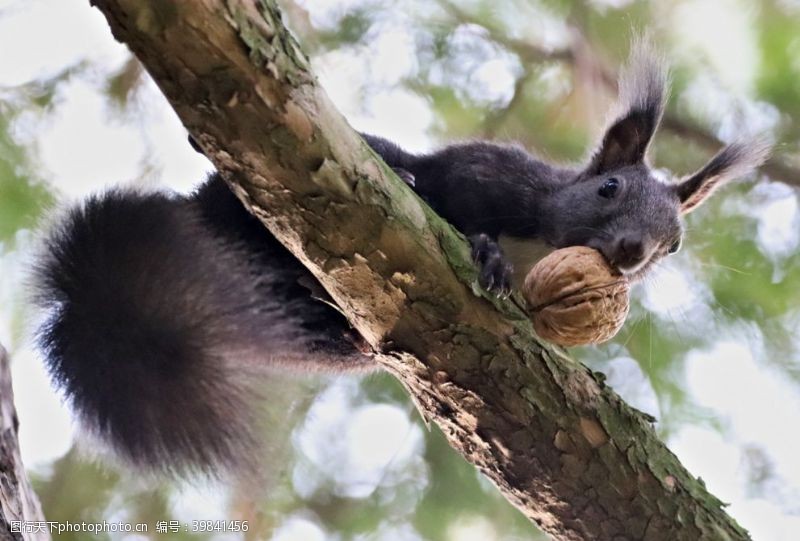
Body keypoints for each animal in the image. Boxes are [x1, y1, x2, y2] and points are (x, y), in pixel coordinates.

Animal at [29, 41, 768, 472]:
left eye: (673, 246)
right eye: (609, 187)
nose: (631, 252)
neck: (547, 240)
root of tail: (199, 218)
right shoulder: (487, 175)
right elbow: (468, 208)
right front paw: (487, 251)